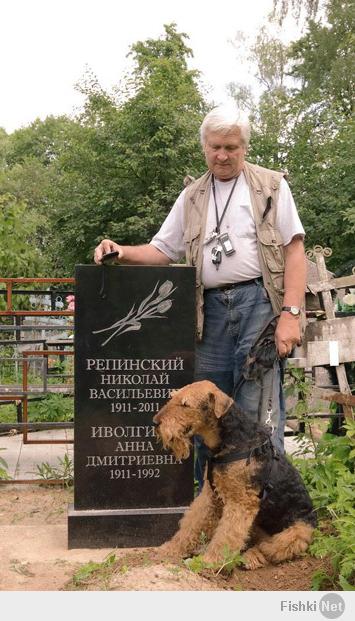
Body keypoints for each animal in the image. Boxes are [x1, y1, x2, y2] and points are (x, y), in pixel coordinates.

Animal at [153, 378, 318, 568]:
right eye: (173, 397)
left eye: (185, 404)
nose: (155, 422)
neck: (231, 440)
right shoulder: (209, 496)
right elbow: (190, 526)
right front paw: (169, 550)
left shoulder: (241, 503)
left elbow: (226, 535)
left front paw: (210, 561)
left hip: (296, 532)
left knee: (271, 548)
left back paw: (250, 558)